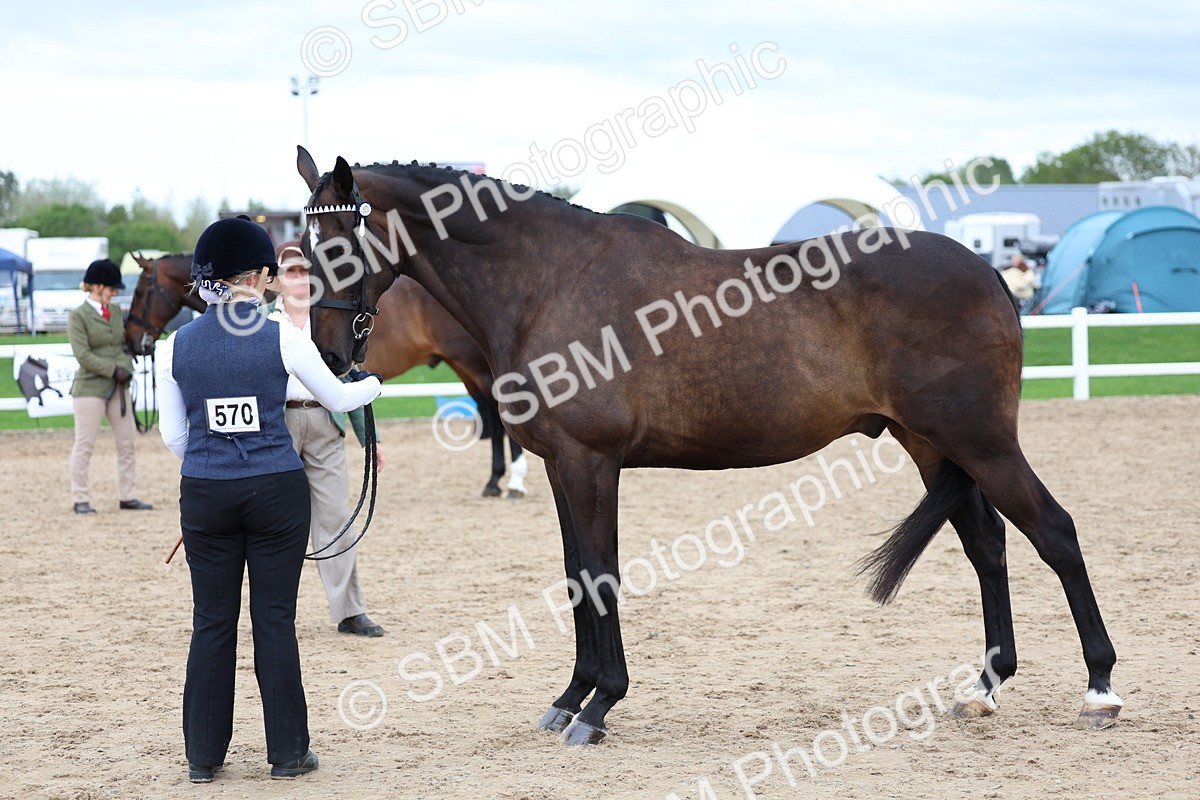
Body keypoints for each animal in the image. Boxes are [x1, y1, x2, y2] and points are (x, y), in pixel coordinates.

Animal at [296, 147, 1122, 746]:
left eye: (339, 244)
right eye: (301, 246)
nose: (329, 357)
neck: (547, 280)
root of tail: (986, 270)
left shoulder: (591, 463)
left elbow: (600, 575)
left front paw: (600, 706)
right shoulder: (564, 467)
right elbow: (575, 576)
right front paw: (569, 698)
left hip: (982, 442)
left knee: (1055, 534)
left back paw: (1100, 689)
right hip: (934, 445)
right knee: (988, 546)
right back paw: (984, 689)